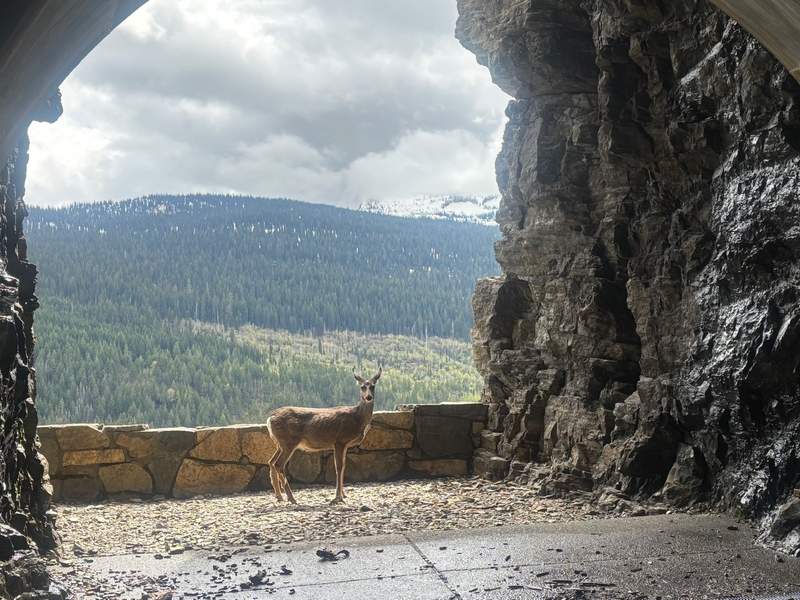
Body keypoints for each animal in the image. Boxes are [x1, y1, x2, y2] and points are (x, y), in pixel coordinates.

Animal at [265, 366, 382, 504]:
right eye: (362, 387)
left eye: (373, 386)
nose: (368, 397)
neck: (357, 418)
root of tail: (270, 419)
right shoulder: (339, 440)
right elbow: (339, 467)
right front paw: (338, 497)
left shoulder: (345, 444)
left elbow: (344, 466)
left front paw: (344, 495)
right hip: (288, 441)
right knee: (278, 464)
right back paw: (292, 498)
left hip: (280, 444)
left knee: (271, 461)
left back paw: (279, 496)